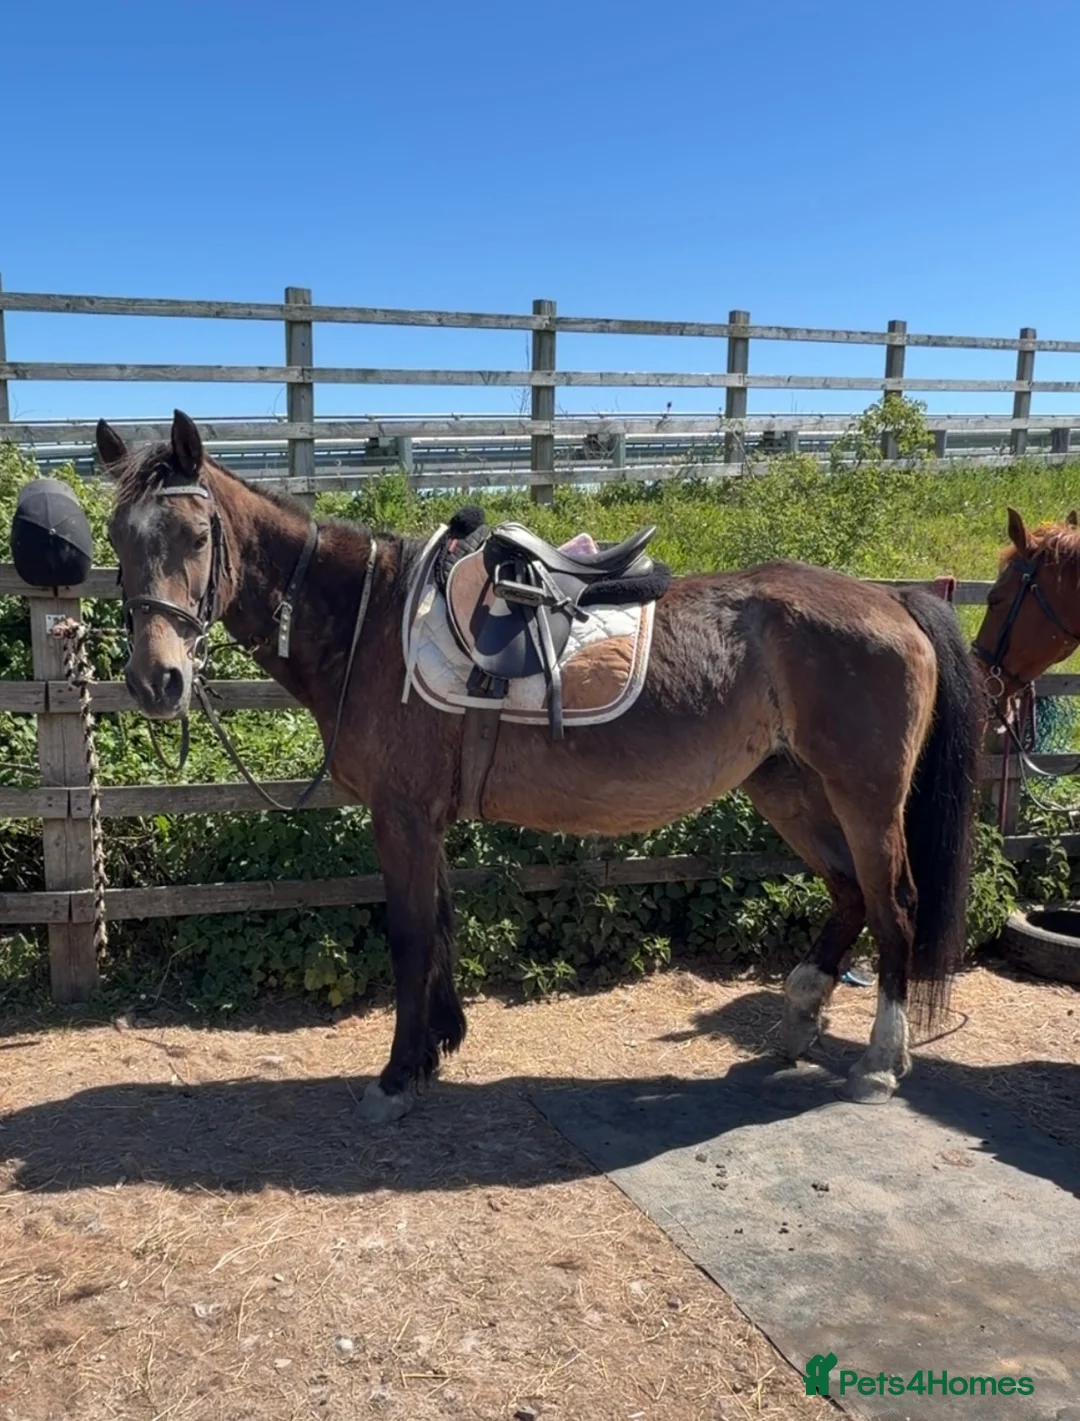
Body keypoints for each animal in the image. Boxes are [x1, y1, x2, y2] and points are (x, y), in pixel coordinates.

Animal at [95, 410, 980, 1123]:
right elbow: (439, 924)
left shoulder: (400, 814)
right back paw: (799, 1015)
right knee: (849, 893)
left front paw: (397, 1075)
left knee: (894, 905)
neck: (369, 622)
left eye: (197, 537)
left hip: (864, 796)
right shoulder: (423, 819)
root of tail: (892, 598)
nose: (154, 679)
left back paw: (879, 1063)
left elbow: (410, 935)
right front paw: (438, 1045)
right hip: (788, 784)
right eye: (116, 540)